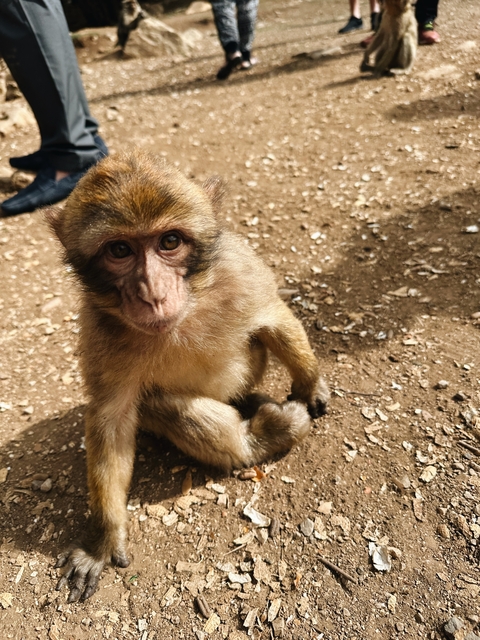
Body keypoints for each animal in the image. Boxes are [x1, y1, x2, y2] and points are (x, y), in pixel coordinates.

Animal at [46, 151, 329, 602]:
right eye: (119, 250)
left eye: (170, 242)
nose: (153, 292)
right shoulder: (98, 330)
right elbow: (112, 419)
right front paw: (102, 541)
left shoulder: (239, 269)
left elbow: (273, 318)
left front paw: (311, 384)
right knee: (161, 404)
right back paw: (260, 438)